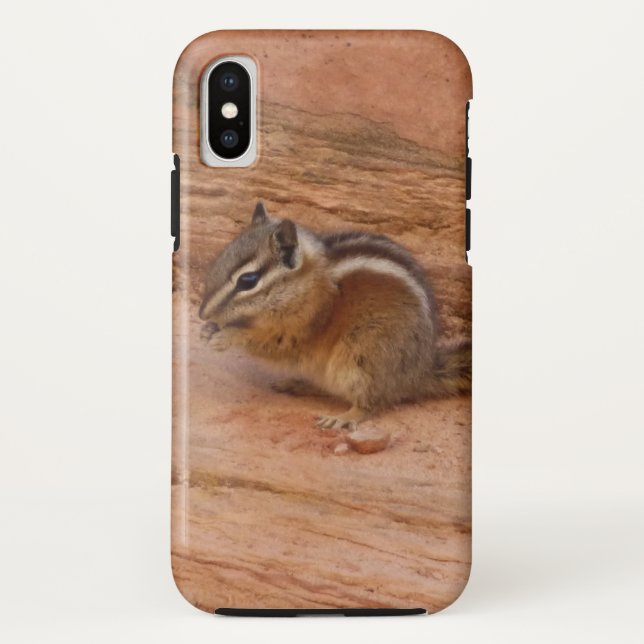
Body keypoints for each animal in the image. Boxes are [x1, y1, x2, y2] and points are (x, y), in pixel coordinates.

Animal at [199, 201, 471, 430]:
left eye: (248, 280)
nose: (202, 313)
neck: (306, 283)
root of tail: (420, 372)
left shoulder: (304, 327)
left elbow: (270, 343)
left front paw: (227, 336)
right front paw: (208, 329)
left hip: (363, 355)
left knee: (371, 402)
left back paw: (345, 417)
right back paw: (297, 384)